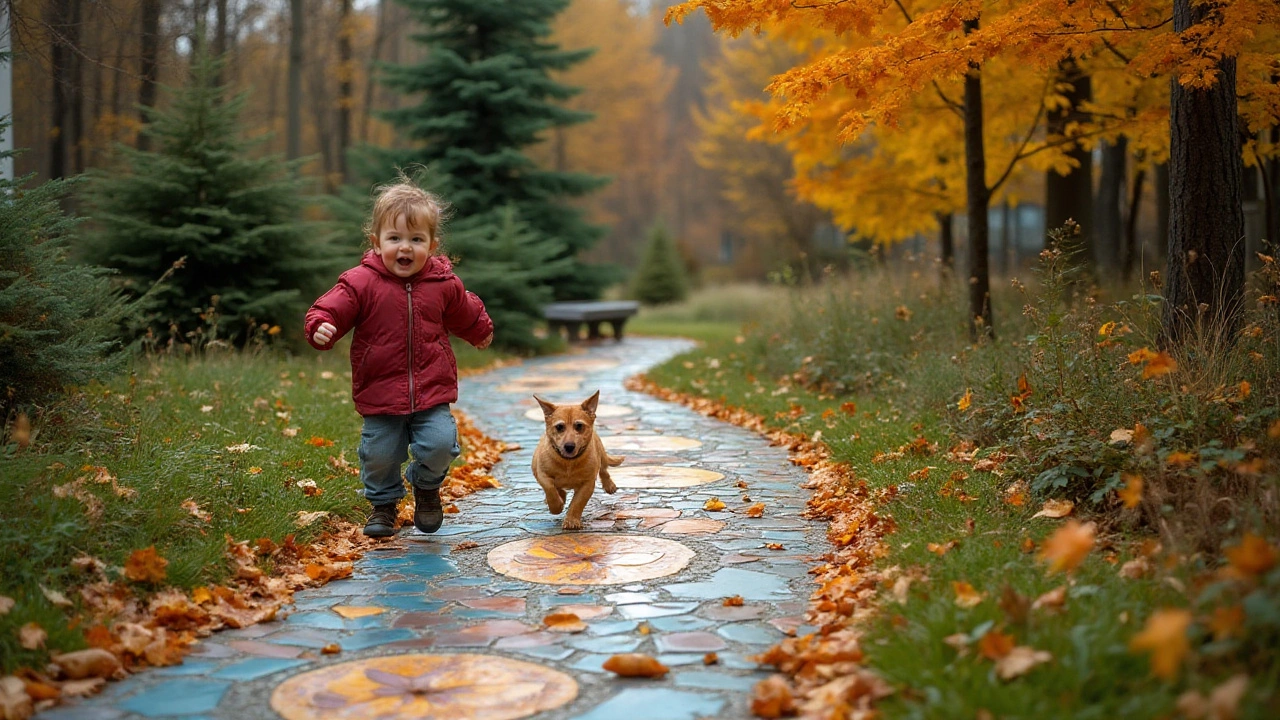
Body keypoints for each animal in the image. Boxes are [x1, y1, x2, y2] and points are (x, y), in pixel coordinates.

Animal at [529, 392, 624, 527]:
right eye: (559, 427)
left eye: (579, 426)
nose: (569, 446)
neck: (568, 462)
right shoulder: (542, 474)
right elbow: (550, 488)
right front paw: (556, 506)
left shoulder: (588, 483)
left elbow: (578, 502)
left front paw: (572, 520)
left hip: (601, 453)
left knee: (604, 469)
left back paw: (609, 485)